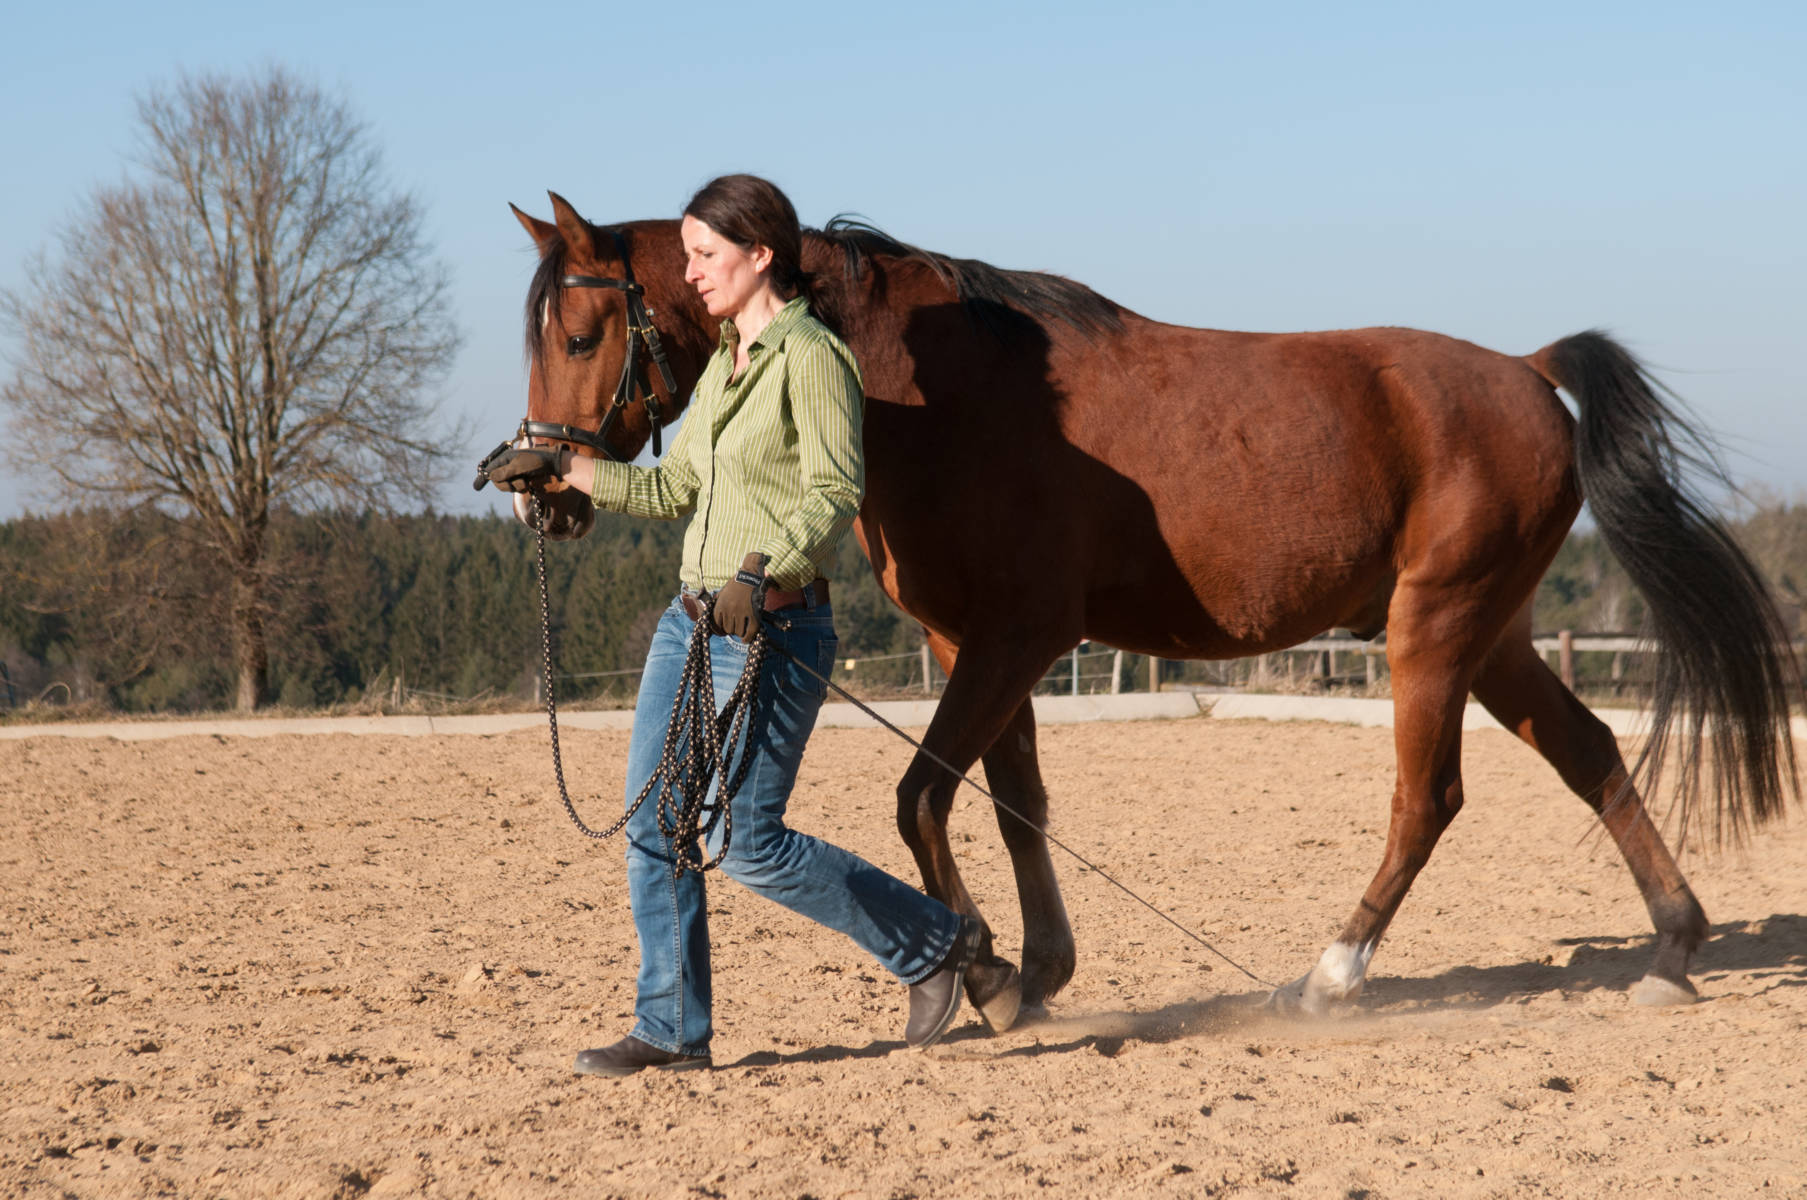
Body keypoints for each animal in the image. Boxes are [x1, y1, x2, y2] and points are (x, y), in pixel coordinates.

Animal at [504, 192, 1800, 1029]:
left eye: (582, 330)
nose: (538, 490)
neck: (940, 388)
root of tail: (1527, 372)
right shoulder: (972, 643)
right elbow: (1012, 803)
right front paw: (1036, 968)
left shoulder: (1018, 638)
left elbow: (922, 796)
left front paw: (981, 971)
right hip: (1493, 636)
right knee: (1589, 755)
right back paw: (1672, 948)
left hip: (1434, 630)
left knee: (1426, 799)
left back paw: (1331, 978)